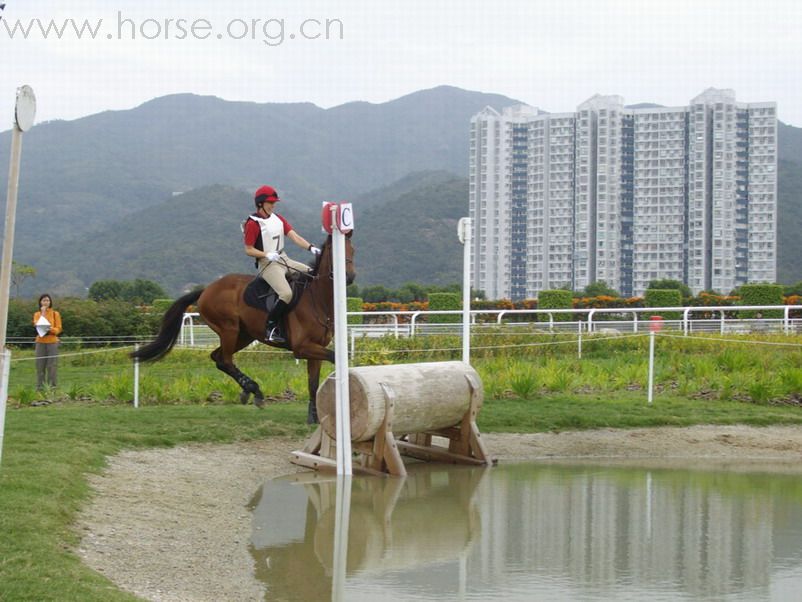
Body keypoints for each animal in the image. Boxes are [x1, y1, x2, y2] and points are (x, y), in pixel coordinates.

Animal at [131, 232, 354, 424]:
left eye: (353, 249)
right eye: (335, 251)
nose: (349, 277)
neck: (317, 299)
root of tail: (207, 289)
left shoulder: (314, 348)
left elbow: (313, 383)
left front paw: (313, 417)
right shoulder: (302, 347)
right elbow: (334, 358)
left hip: (244, 335)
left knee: (217, 357)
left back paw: (249, 389)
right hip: (229, 330)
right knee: (226, 360)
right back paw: (255, 390)